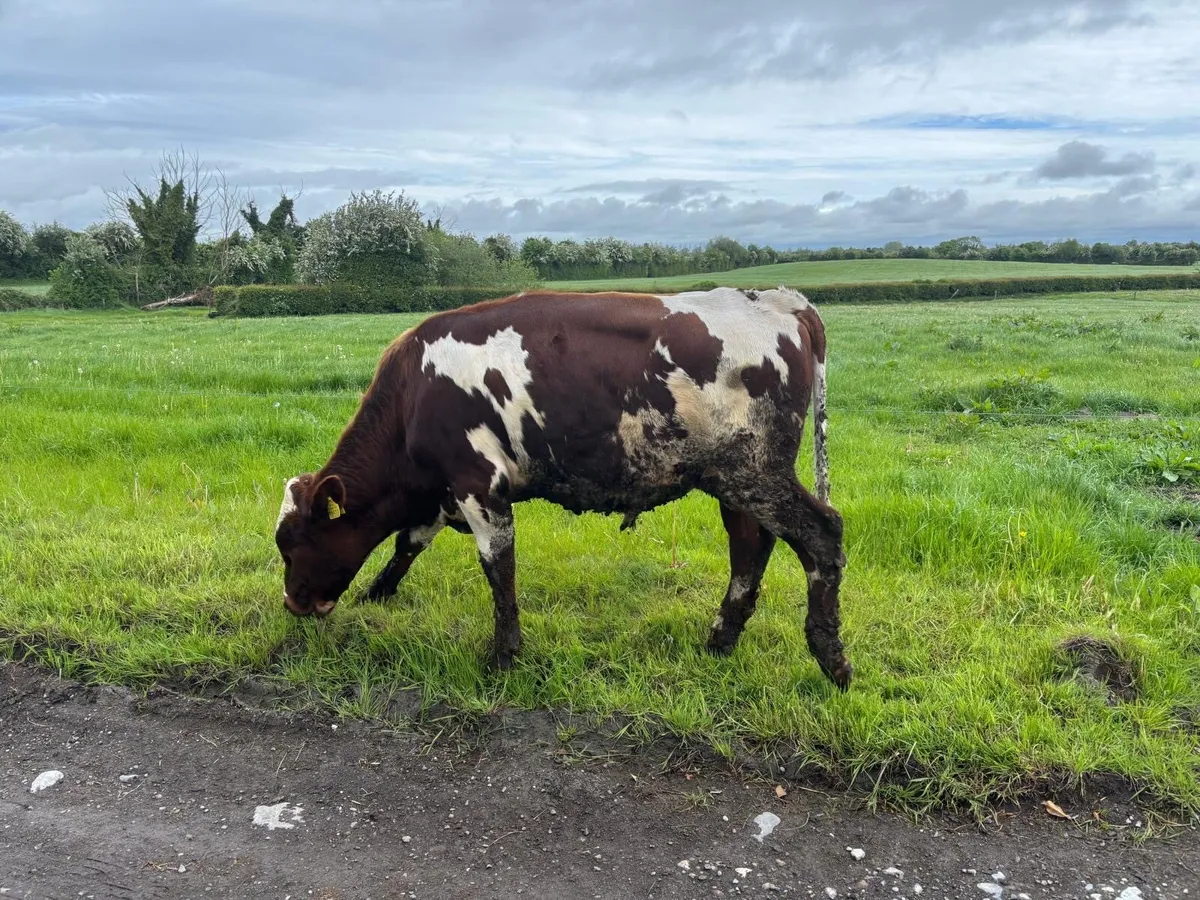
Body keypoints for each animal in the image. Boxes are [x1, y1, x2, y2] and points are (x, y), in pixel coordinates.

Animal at [273, 286, 851, 689]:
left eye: (294, 543)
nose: (294, 603)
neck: (414, 394)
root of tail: (777, 300)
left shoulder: (476, 483)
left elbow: (498, 570)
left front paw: (503, 656)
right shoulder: (440, 493)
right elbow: (407, 543)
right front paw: (376, 596)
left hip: (755, 471)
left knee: (821, 533)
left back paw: (832, 659)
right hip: (733, 480)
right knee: (751, 547)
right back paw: (720, 641)